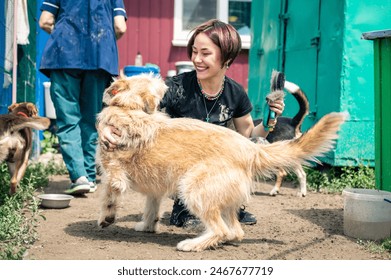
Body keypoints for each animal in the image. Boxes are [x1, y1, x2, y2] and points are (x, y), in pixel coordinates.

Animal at [96, 74, 348, 252]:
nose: (167, 86)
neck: (130, 108)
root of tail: (250, 148)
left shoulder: (113, 174)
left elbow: (109, 195)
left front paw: (106, 218)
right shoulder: (155, 189)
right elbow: (151, 208)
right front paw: (147, 226)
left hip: (192, 189)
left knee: (221, 230)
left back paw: (193, 244)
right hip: (223, 202)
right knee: (235, 232)